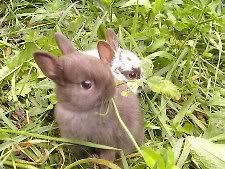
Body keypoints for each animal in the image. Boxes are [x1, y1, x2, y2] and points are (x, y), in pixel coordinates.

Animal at [33, 32, 144, 168]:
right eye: (86, 84)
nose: (111, 90)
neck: (80, 111)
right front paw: (92, 159)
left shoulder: (108, 140)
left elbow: (108, 156)